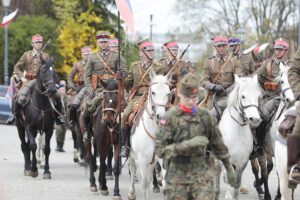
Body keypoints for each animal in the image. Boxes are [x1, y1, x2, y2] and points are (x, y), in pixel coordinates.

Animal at [127, 70, 171, 200]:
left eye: (168, 93)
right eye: (153, 92)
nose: (160, 116)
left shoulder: (161, 158)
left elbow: (164, 183)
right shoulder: (142, 159)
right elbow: (145, 184)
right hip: (131, 155)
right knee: (133, 169)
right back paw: (131, 193)